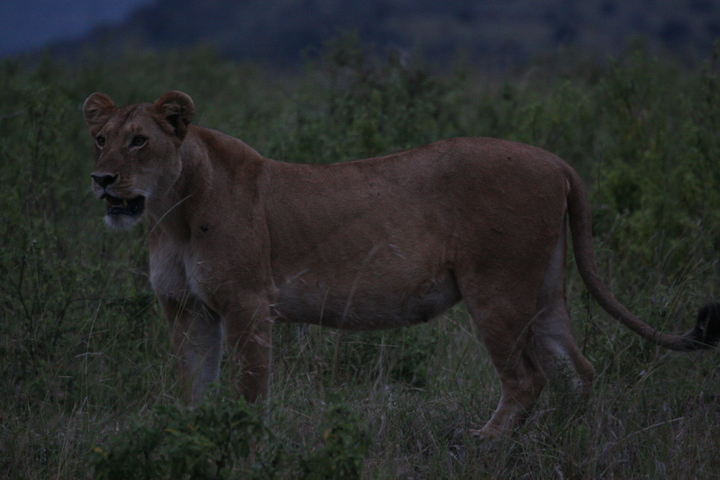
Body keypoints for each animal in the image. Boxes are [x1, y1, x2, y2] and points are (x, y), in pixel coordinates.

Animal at [83, 90, 720, 439]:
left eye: (139, 141)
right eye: (99, 139)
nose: (102, 179)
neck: (172, 213)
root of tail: (554, 159)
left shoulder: (246, 305)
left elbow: (247, 390)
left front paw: (243, 444)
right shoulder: (186, 309)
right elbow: (193, 388)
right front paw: (194, 437)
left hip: (497, 290)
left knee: (527, 378)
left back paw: (485, 442)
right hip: (544, 291)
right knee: (579, 368)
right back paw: (574, 435)